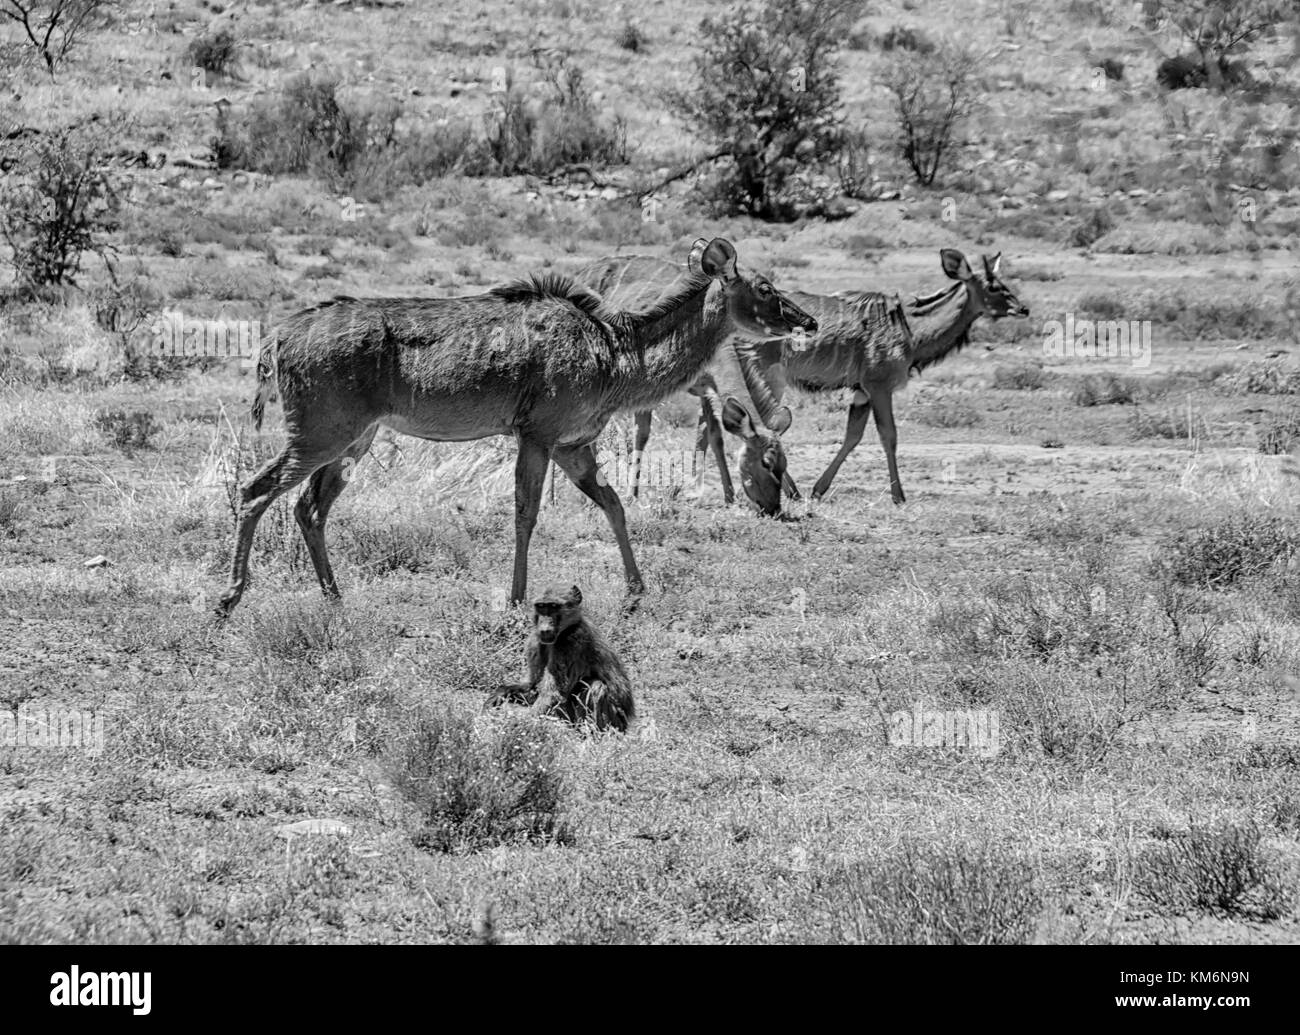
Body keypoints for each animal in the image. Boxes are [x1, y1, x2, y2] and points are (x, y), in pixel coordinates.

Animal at [582, 254, 800, 512]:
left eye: (785, 463)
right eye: (766, 463)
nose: (775, 507)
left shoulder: (707, 390)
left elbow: (713, 437)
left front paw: (728, 495)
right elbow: (642, 435)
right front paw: (632, 495)